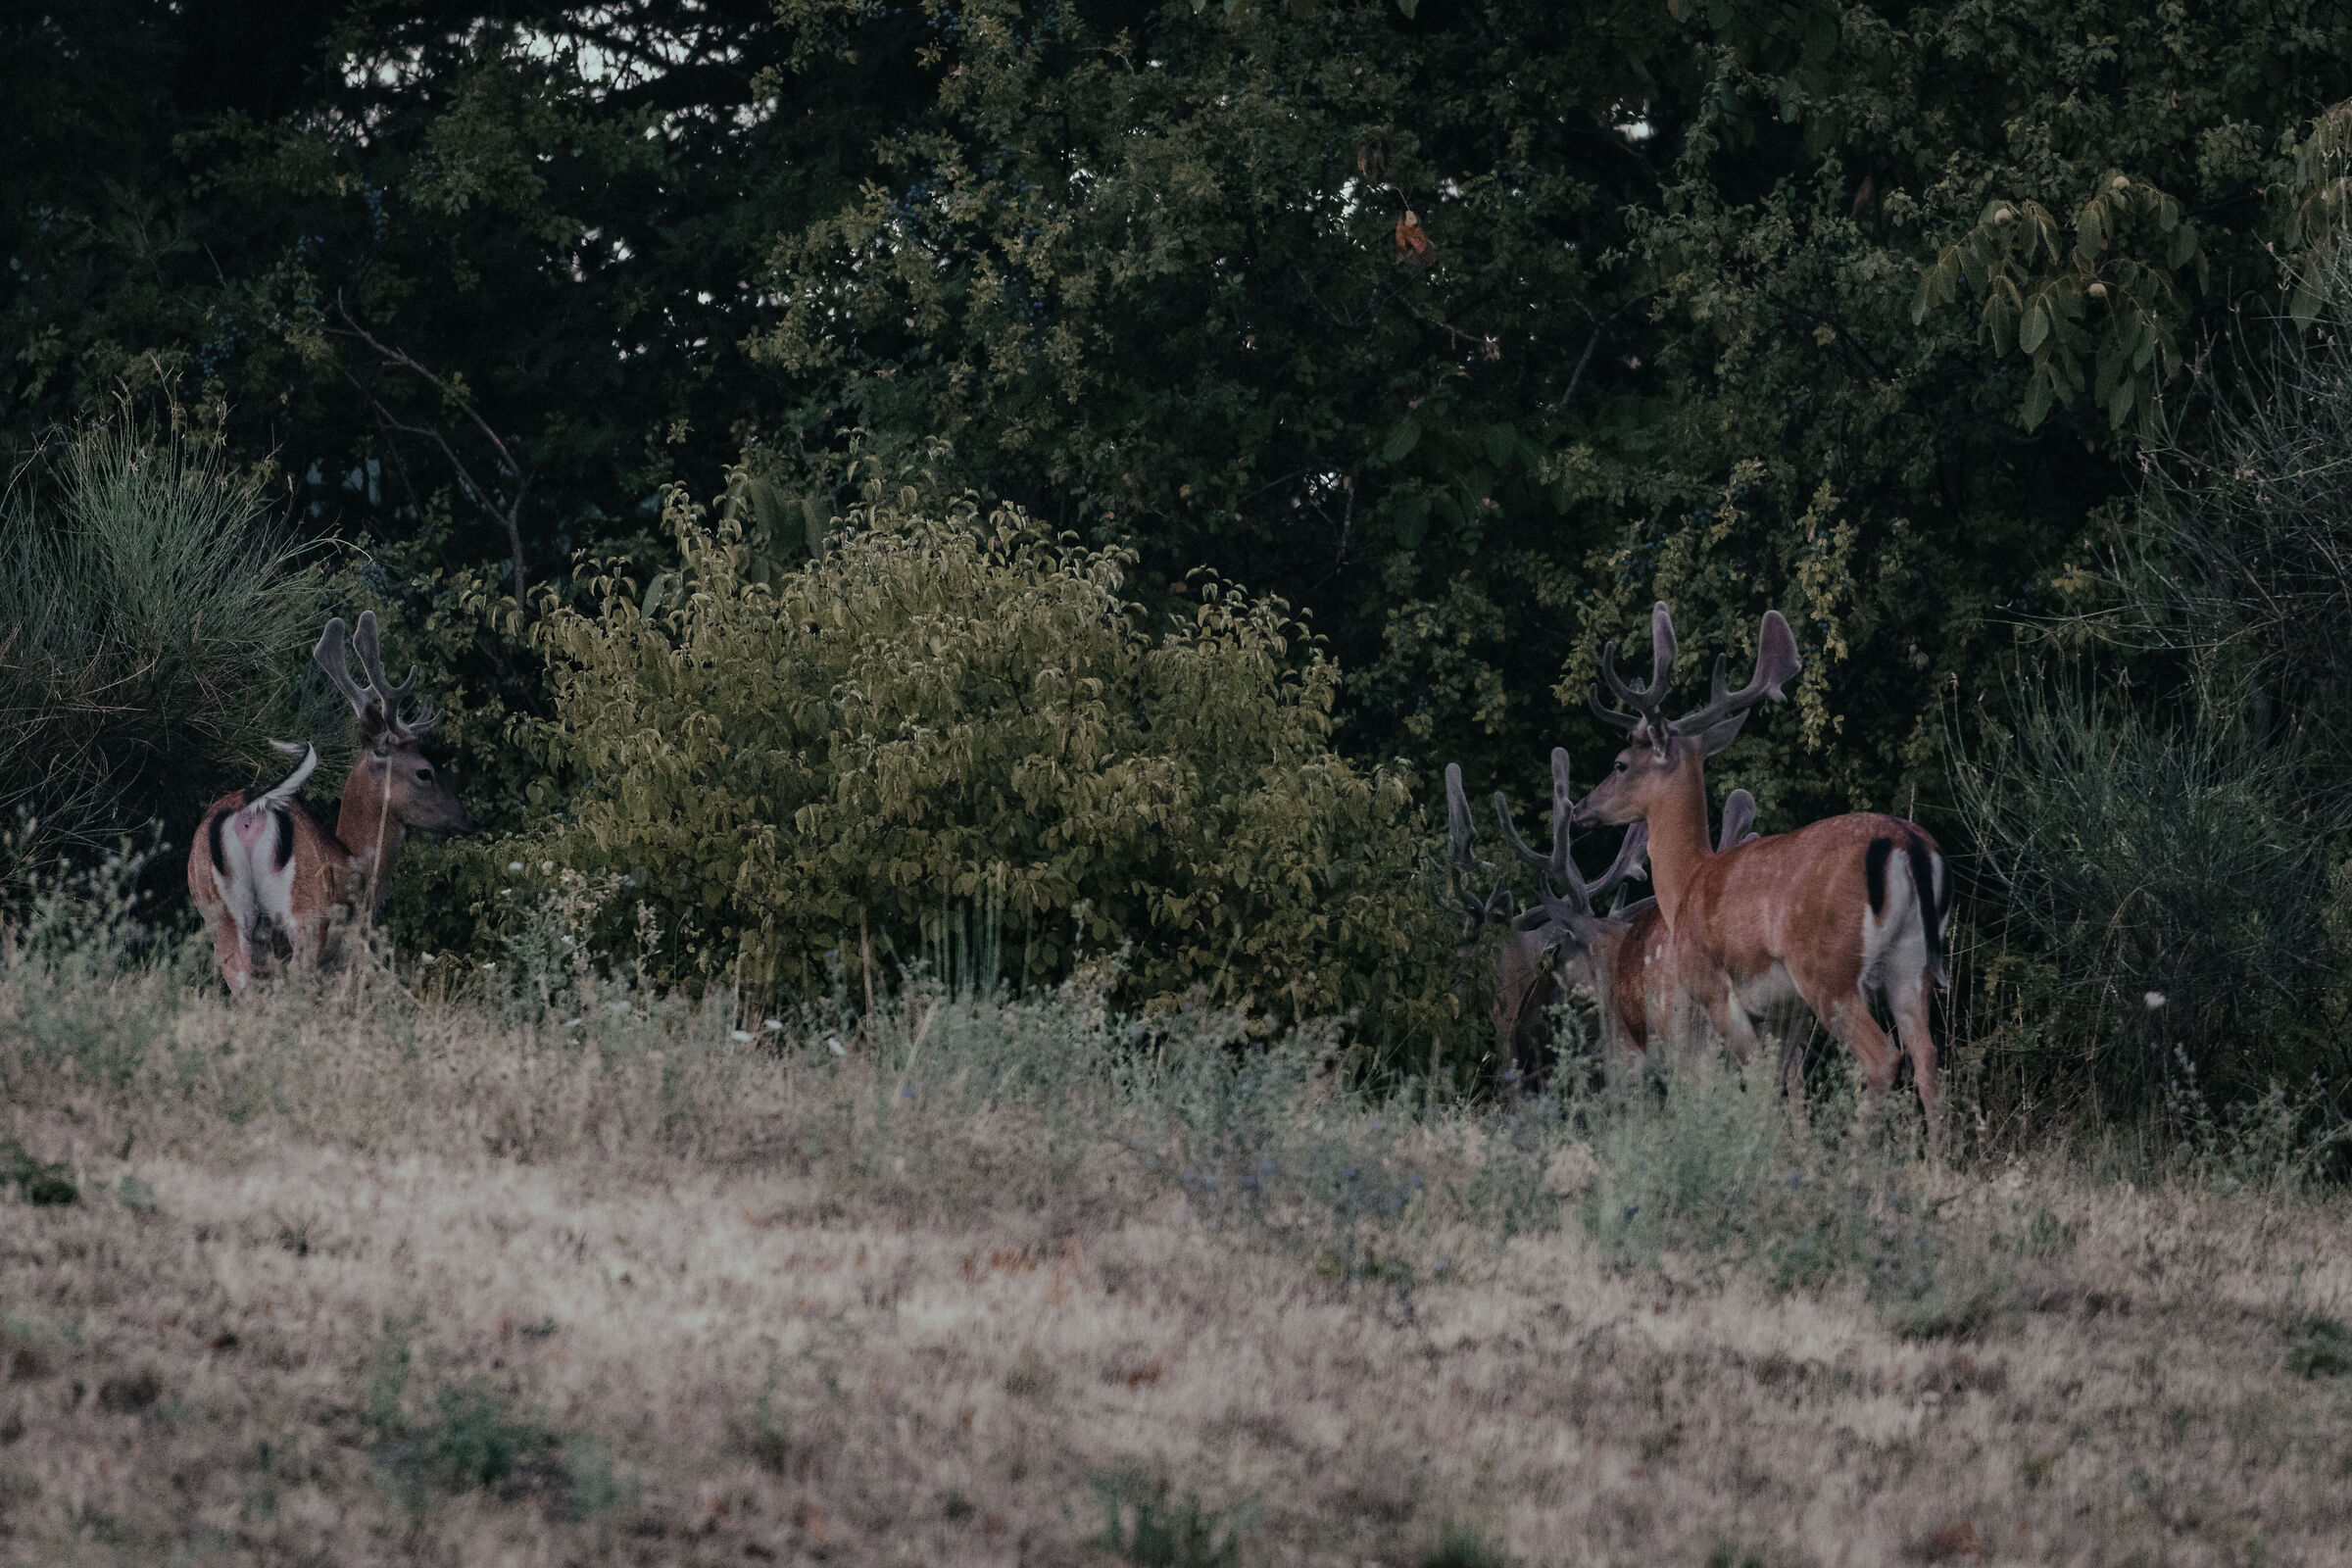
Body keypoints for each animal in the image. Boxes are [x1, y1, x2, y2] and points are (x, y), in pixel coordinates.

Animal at [187, 612, 474, 990]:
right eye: (424, 772)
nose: (467, 817)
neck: (356, 857)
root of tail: (252, 810)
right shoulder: (347, 943)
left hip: (217, 910)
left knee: (241, 978)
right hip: (305, 913)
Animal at [1570, 602, 1954, 1124]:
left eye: (1620, 764)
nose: (1580, 811)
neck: (1687, 882)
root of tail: (1908, 843)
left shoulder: (1715, 988)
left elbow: (1754, 1087)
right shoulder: (1782, 1011)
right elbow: (1777, 1085)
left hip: (1827, 969)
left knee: (1883, 1058)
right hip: (1912, 964)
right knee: (1928, 1059)